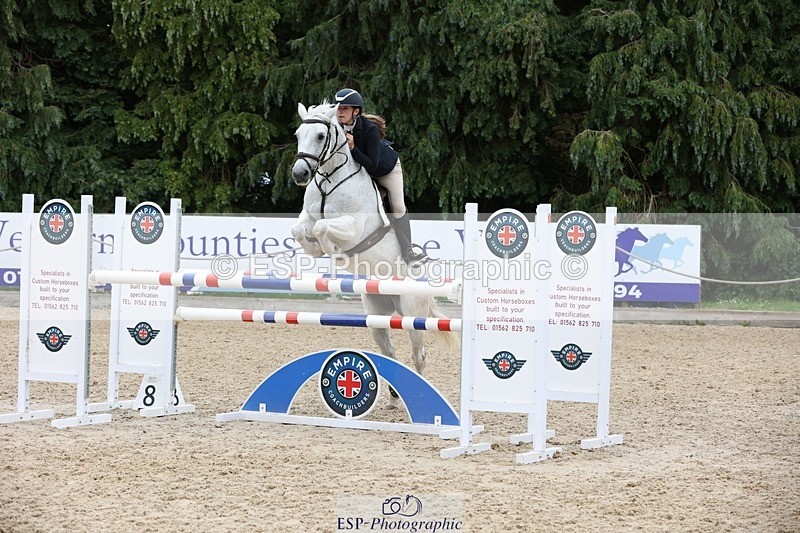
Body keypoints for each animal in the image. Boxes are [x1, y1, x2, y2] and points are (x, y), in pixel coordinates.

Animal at [289, 101, 459, 380]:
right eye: (297, 135)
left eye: (321, 136)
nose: (300, 174)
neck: (330, 179)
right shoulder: (307, 218)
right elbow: (299, 231)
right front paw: (316, 250)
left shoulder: (354, 227)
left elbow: (324, 228)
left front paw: (334, 252)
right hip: (376, 315)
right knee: (389, 351)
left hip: (412, 313)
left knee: (419, 355)